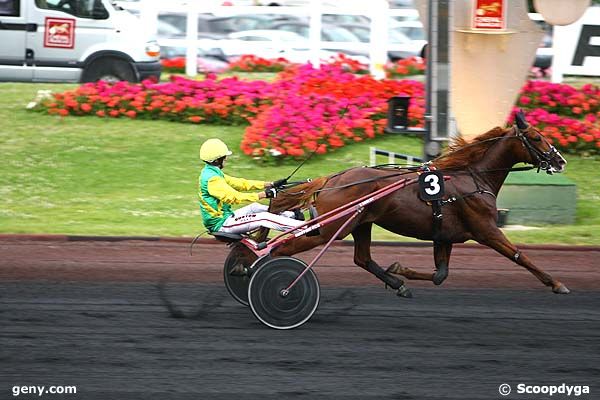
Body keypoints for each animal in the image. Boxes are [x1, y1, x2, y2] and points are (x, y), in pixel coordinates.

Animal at [266, 112, 568, 296]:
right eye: (537, 137)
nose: (560, 161)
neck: (473, 178)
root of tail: (332, 178)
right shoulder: (487, 230)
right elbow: (519, 255)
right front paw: (557, 283)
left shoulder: (445, 235)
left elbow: (440, 275)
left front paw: (400, 270)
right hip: (330, 229)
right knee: (280, 247)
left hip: (360, 223)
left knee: (362, 258)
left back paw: (398, 284)